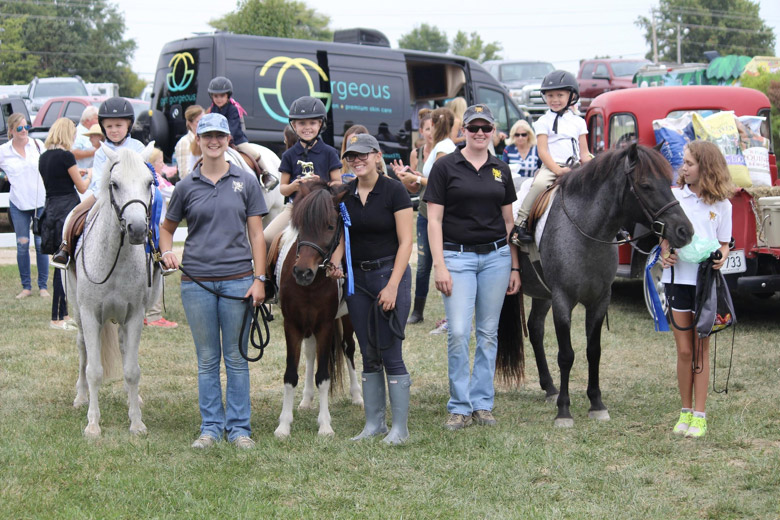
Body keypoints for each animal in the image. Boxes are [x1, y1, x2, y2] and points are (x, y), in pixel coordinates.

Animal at [67, 143, 161, 438]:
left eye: (148, 183)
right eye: (115, 184)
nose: (138, 229)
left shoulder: (134, 317)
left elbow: (131, 370)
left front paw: (136, 422)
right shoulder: (89, 315)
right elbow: (94, 371)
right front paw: (93, 425)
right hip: (77, 313)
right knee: (82, 348)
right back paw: (80, 397)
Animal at [273, 179, 362, 438]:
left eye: (331, 226)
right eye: (300, 226)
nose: (303, 272)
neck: (311, 286)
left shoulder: (324, 325)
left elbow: (323, 376)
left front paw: (324, 425)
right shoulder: (292, 324)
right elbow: (290, 374)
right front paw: (284, 425)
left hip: (347, 319)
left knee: (348, 348)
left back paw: (357, 395)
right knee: (311, 354)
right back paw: (305, 400)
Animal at [507, 143, 693, 427]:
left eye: (668, 181)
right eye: (646, 185)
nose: (684, 230)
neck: (586, 231)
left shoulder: (599, 300)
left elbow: (593, 351)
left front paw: (596, 404)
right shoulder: (563, 300)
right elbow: (566, 355)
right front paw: (564, 410)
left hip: (542, 293)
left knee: (536, 329)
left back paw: (549, 388)